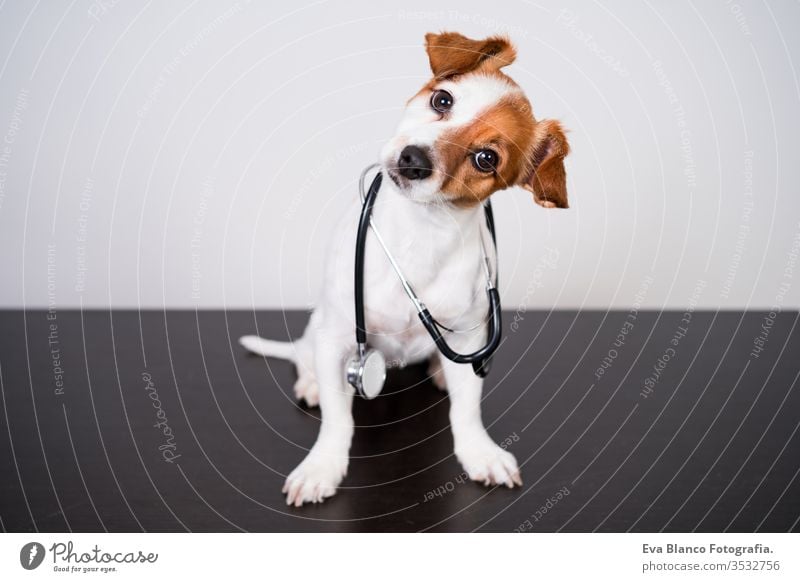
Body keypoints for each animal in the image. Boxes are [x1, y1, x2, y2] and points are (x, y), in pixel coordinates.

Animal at [239, 32, 568, 506]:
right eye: (442, 99)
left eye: (486, 158)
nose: (414, 158)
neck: (421, 233)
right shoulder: (338, 336)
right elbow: (339, 420)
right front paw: (322, 467)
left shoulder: (469, 337)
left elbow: (467, 411)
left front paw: (478, 452)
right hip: (319, 328)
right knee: (305, 355)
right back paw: (313, 383)